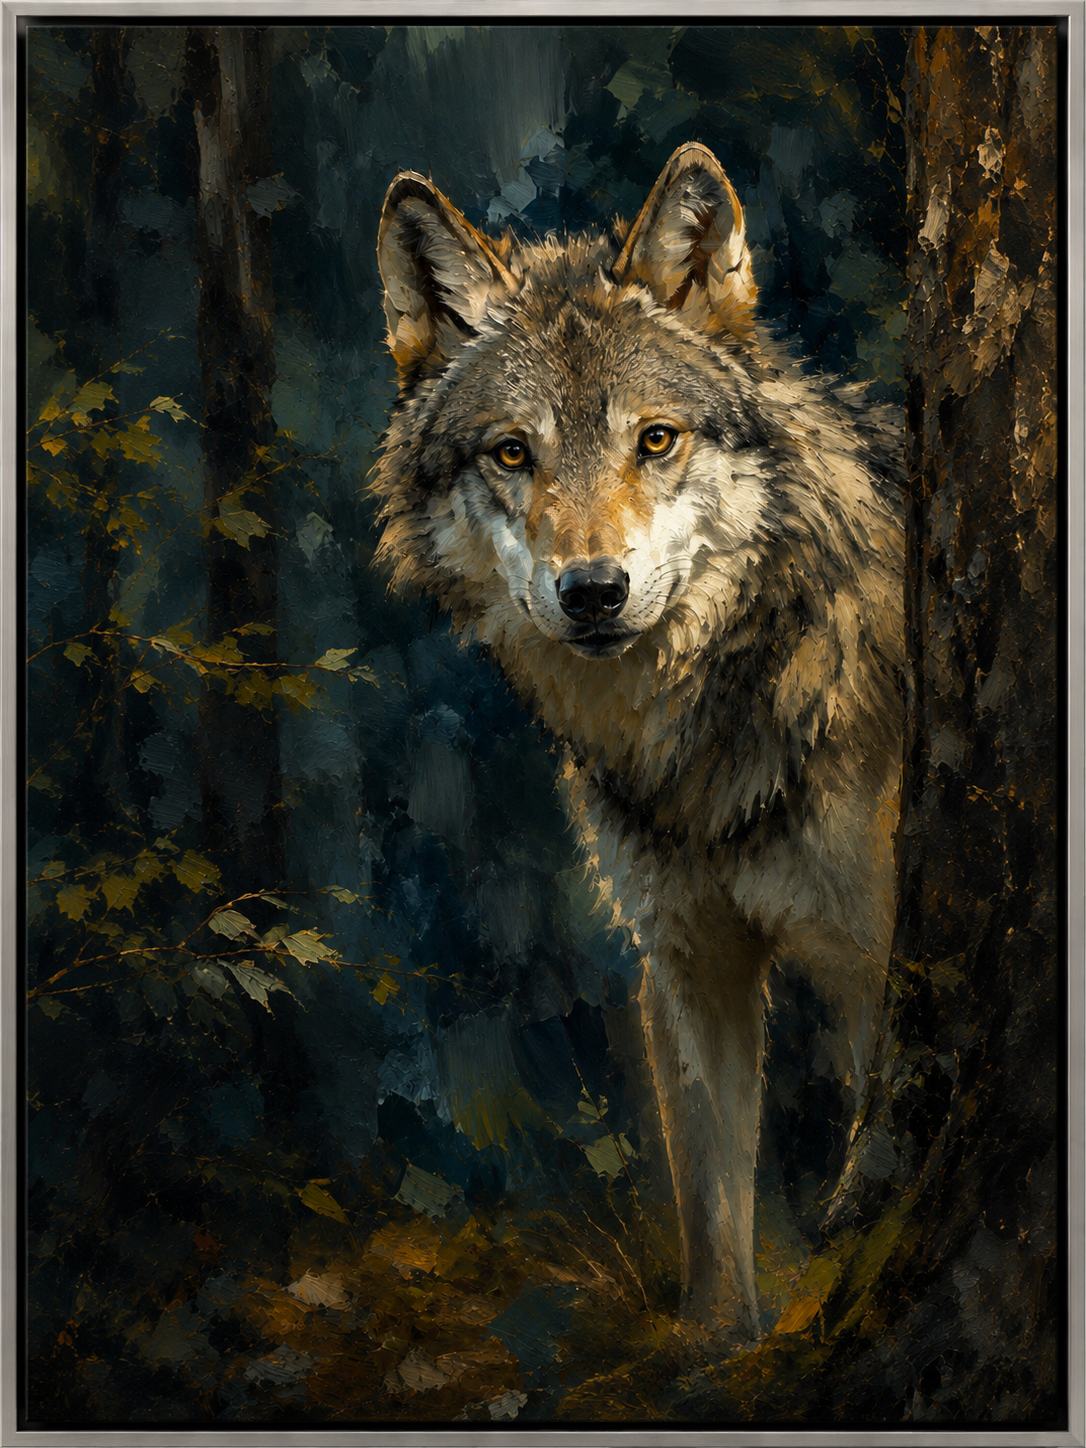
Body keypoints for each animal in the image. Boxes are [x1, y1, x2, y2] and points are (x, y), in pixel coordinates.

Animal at [373, 142, 904, 1340]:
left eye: (654, 440)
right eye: (512, 454)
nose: (593, 592)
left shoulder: (876, 958)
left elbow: (870, 1149)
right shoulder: (686, 957)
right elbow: (711, 1204)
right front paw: (714, 1349)